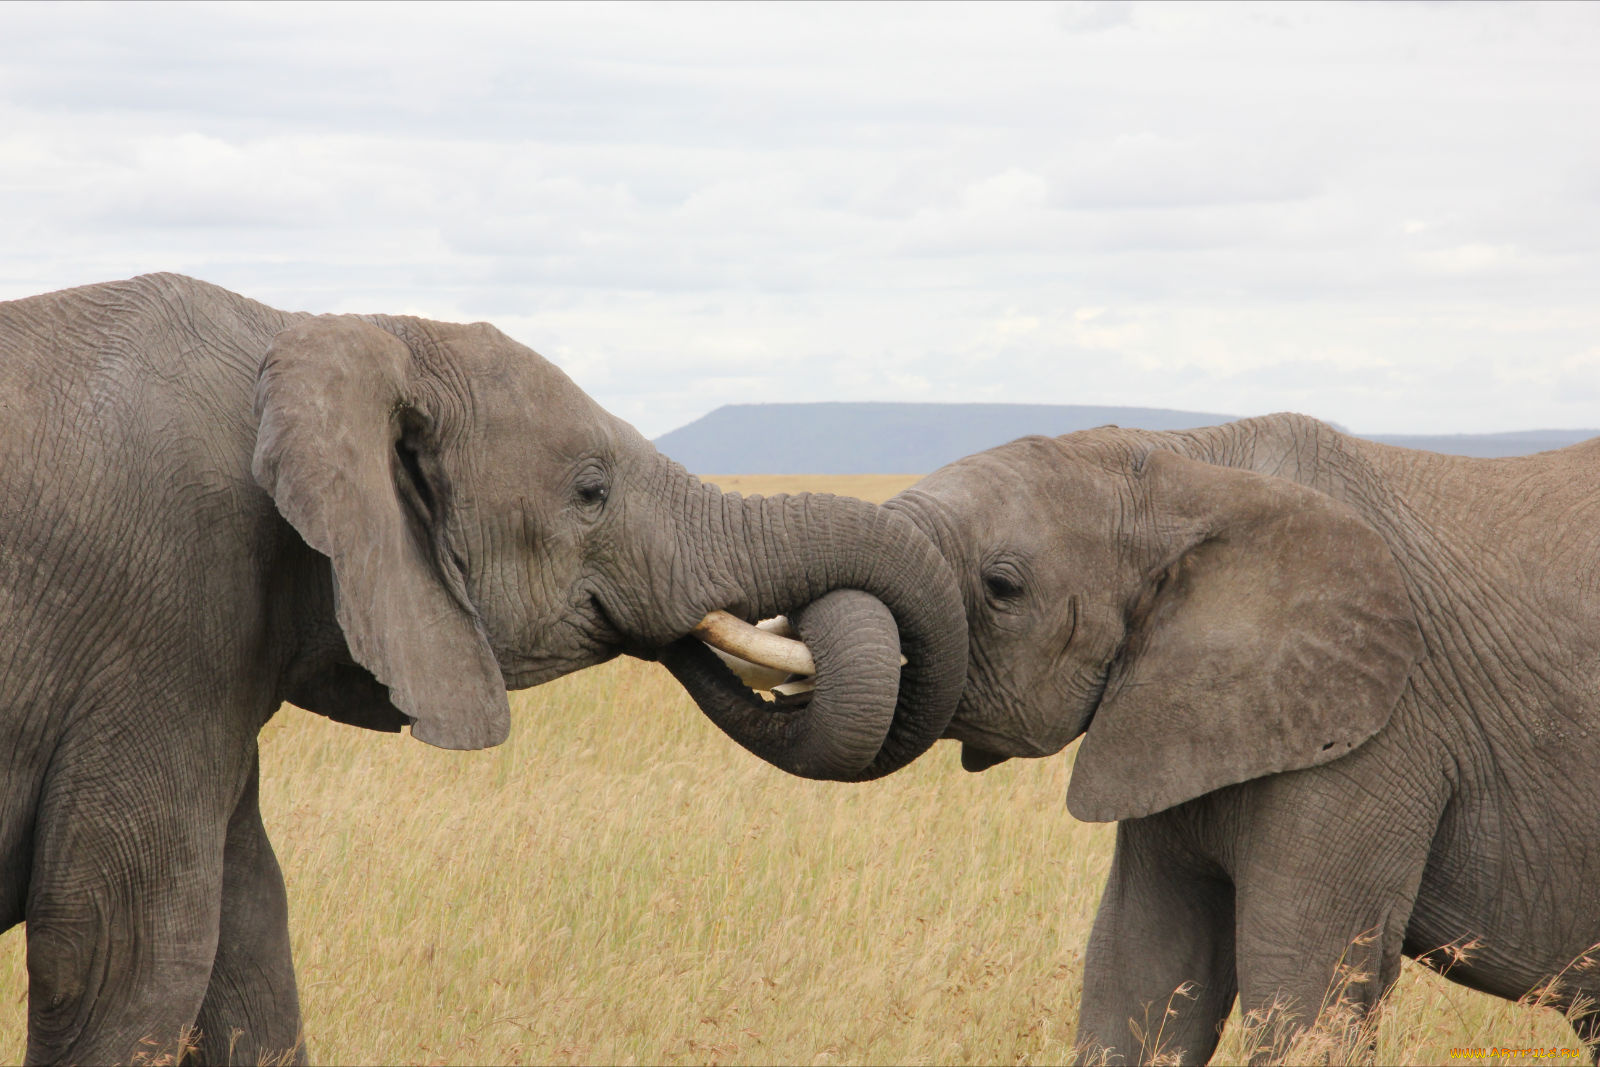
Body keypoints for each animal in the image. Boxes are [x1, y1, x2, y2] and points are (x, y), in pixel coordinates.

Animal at [0, 273, 966, 1064]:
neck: (313, 336)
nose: (796, 666)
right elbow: (126, 960)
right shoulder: (164, 622)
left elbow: (248, 946)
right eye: (590, 490)